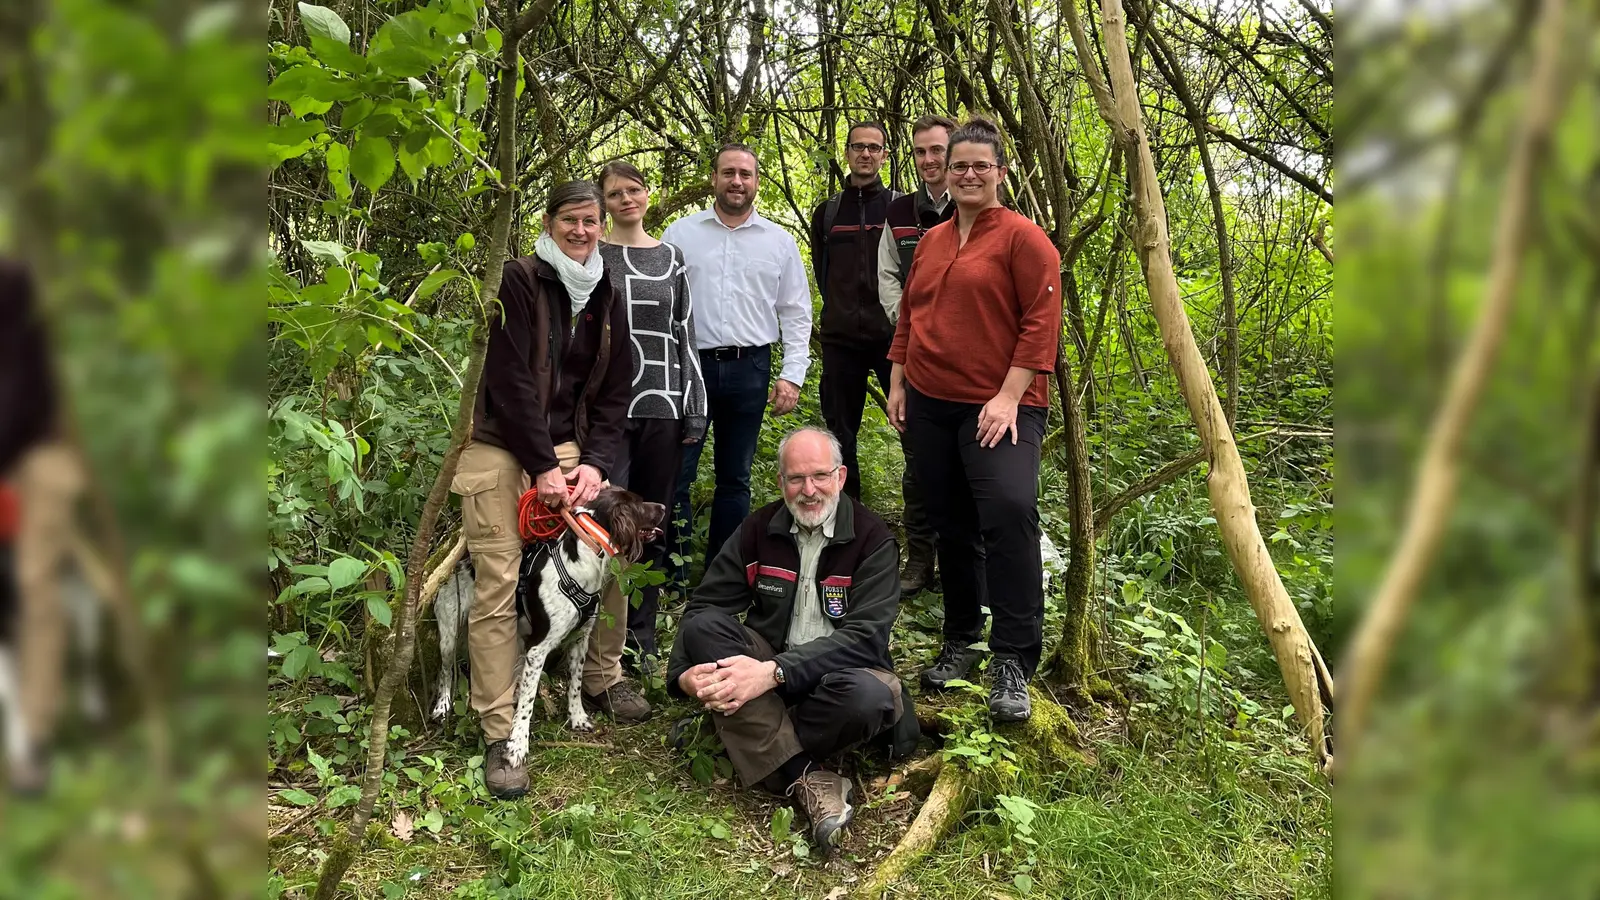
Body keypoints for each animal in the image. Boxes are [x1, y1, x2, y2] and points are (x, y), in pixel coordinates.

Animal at [432, 483, 662, 762]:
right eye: (639, 504)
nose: (663, 507)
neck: (580, 567)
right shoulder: (538, 649)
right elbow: (528, 703)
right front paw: (517, 744)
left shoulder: (580, 639)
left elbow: (575, 683)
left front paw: (577, 717)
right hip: (449, 633)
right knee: (445, 671)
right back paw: (442, 706)